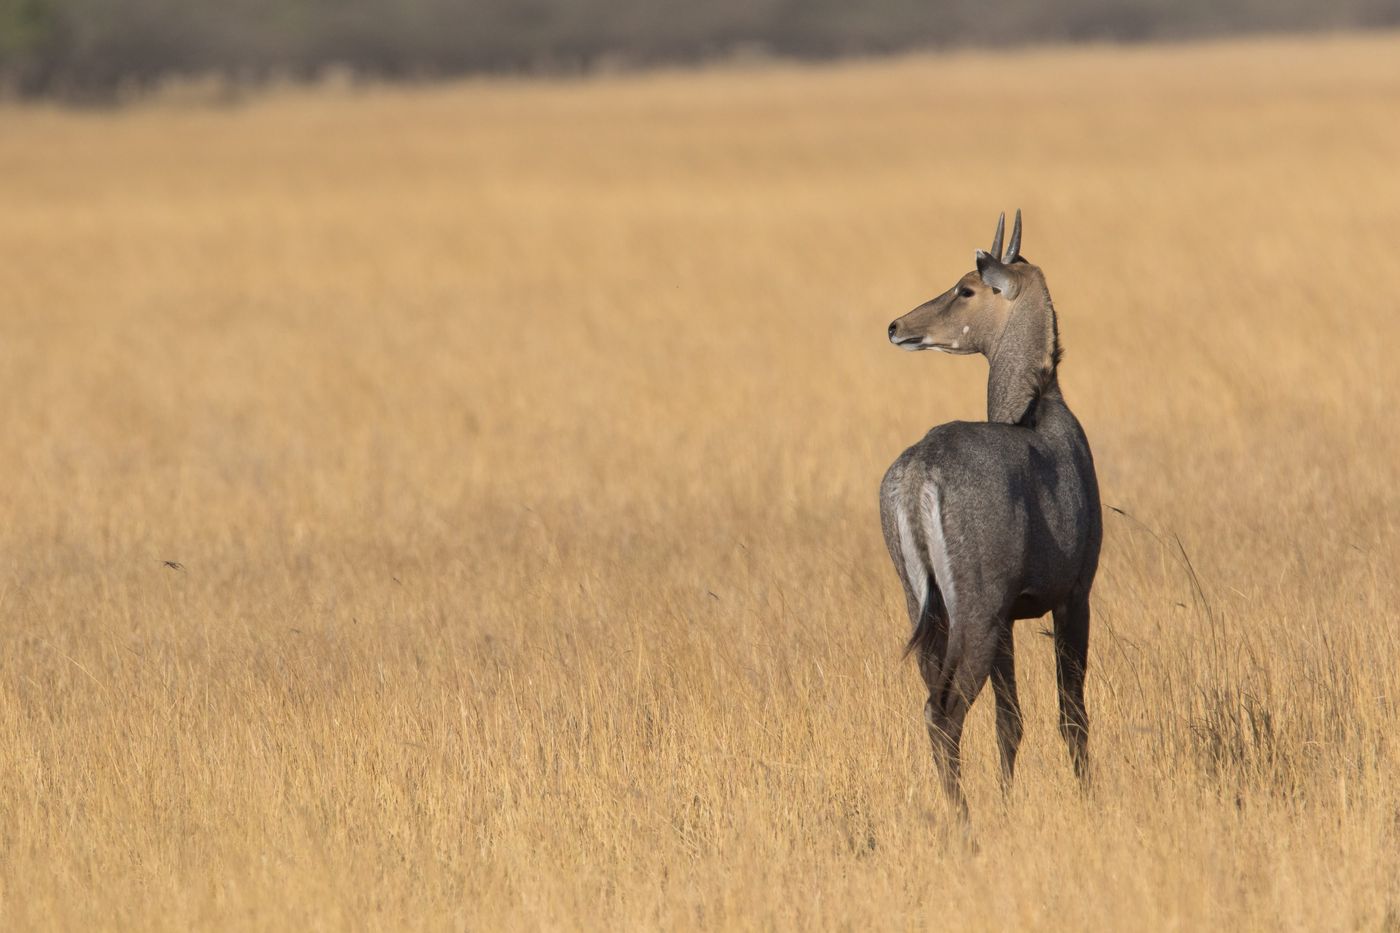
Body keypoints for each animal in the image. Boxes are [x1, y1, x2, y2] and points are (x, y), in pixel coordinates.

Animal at [879, 210, 1097, 812]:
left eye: (964, 289)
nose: (896, 326)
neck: (1039, 403)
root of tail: (920, 469)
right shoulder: (1074, 595)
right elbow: (1072, 715)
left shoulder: (1012, 617)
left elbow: (1011, 721)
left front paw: (1008, 802)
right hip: (976, 612)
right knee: (944, 711)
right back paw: (963, 821)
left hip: (930, 608)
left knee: (939, 703)